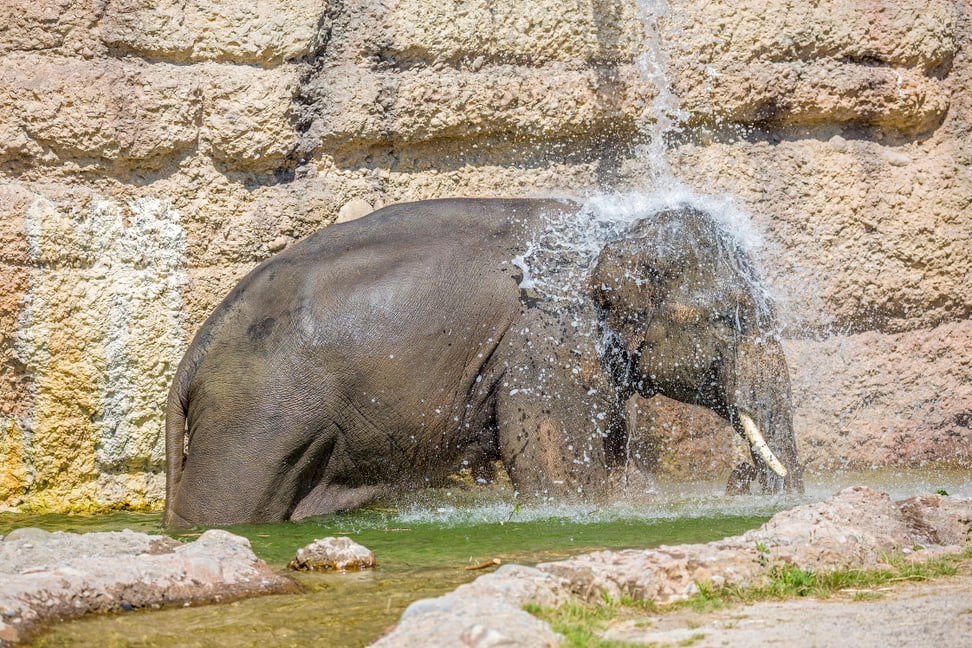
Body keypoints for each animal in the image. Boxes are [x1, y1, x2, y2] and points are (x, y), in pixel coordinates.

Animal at [165, 197, 804, 528]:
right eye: (730, 318)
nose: (742, 480)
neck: (610, 226)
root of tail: (193, 356)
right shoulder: (549, 340)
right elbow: (555, 471)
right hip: (257, 415)